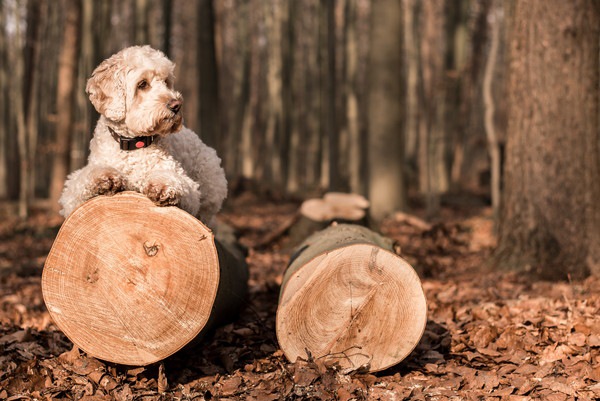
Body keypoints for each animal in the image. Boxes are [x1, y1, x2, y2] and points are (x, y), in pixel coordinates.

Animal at [59, 45, 227, 227]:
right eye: (142, 84)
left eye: (166, 82)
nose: (176, 105)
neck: (132, 145)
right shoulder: (70, 196)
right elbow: (83, 179)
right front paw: (104, 177)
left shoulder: (189, 187)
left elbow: (177, 181)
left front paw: (163, 185)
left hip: (211, 180)